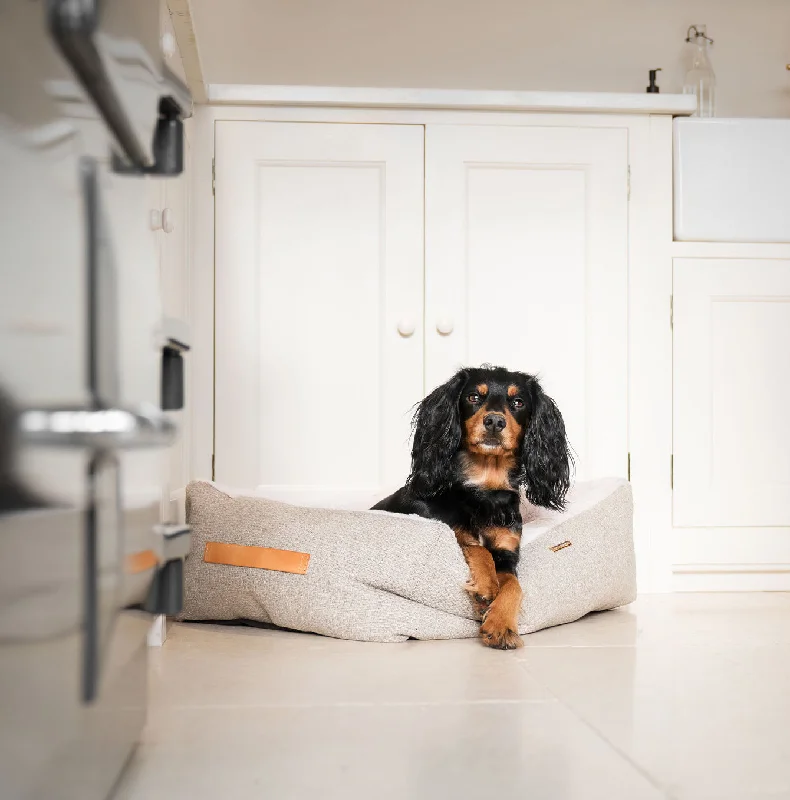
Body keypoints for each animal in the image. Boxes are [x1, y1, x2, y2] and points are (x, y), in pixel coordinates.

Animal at [374, 366, 572, 648]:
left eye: (518, 402)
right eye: (473, 397)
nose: (495, 422)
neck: (484, 489)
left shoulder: (507, 552)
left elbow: (513, 585)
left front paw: (501, 626)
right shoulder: (448, 529)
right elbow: (477, 547)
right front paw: (487, 588)